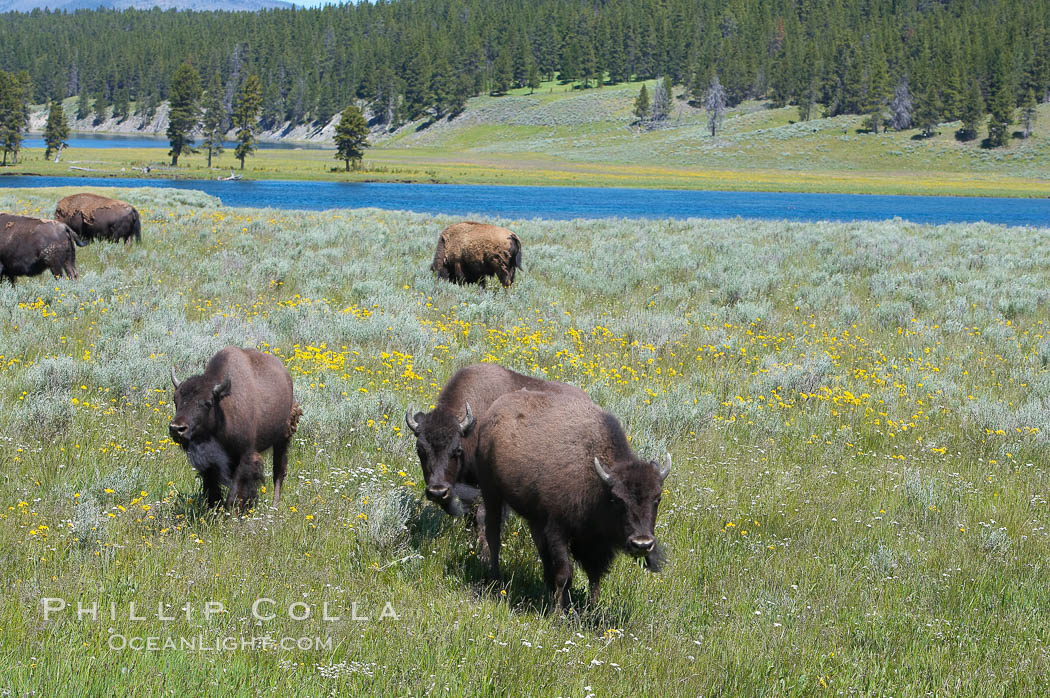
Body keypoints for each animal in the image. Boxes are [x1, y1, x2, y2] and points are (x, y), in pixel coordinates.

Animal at [165, 346, 302, 510]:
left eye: (207, 402)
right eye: (176, 400)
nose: (176, 428)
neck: (222, 408)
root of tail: (285, 376)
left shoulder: (245, 456)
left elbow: (237, 490)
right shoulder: (210, 462)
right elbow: (212, 487)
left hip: (282, 439)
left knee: (279, 472)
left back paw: (274, 506)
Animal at [478, 392, 672, 608]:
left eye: (657, 498)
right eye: (616, 499)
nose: (642, 544)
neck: (598, 483)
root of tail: (494, 410)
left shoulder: (596, 542)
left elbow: (595, 574)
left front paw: (591, 608)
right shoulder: (558, 530)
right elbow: (565, 573)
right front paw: (560, 610)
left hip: (533, 515)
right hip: (491, 492)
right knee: (493, 534)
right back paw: (496, 579)